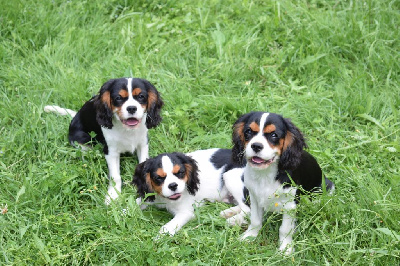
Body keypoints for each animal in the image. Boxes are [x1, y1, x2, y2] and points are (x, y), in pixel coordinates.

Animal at [231, 111, 334, 255]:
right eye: (248, 132)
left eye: (274, 135)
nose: (256, 146)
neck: (265, 173)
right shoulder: (254, 197)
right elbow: (255, 220)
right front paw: (250, 236)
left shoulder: (290, 205)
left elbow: (285, 229)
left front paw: (285, 248)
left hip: (325, 188)